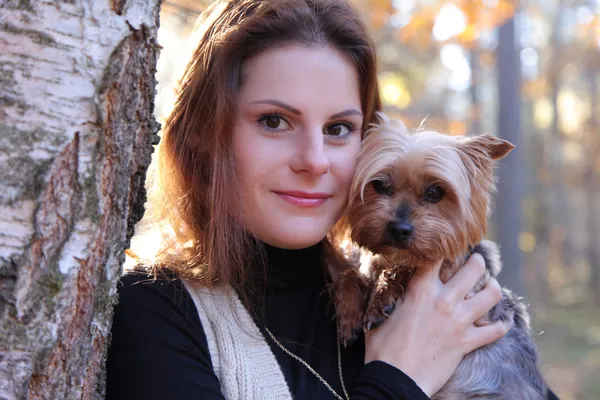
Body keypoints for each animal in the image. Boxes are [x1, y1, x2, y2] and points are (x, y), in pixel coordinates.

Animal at [330, 115, 552, 400]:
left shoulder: (455, 269)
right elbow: (348, 273)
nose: (398, 229)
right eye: (380, 185)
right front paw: (348, 317)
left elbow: (412, 265)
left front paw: (381, 297)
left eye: (435, 192)